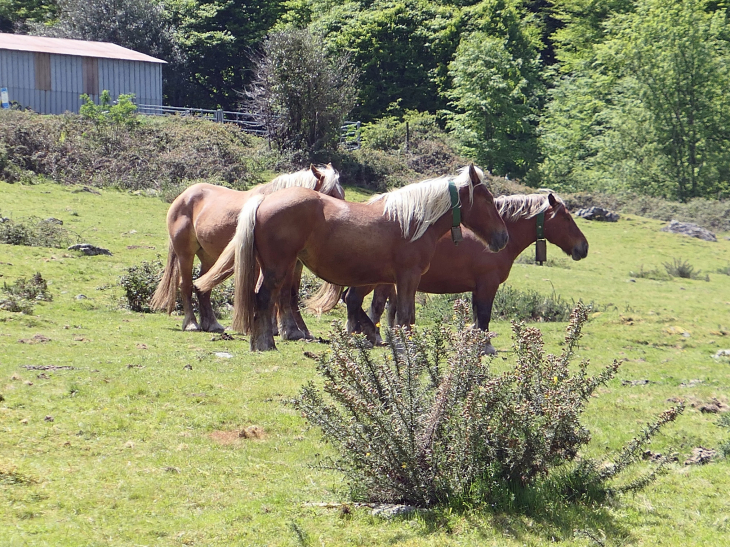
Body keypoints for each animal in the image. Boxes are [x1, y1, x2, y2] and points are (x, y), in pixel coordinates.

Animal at [149, 164, 344, 338]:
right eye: (331, 196)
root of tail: (184, 195)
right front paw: (275, 328)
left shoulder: (294, 264)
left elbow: (291, 294)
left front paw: (299, 329)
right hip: (185, 255)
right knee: (186, 285)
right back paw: (191, 323)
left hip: (208, 258)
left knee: (203, 287)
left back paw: (211, 324)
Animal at [196, 164, 510, 352]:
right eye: (488, 200)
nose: (503, 237)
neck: (411, 221)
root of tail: (265, 200)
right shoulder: (407, 278)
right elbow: (405, 317)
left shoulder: (390, 281)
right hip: (278, 268)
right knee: (264, 299)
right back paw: (265, 344)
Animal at [344, 193, 588, 356]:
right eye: (567, 219)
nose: (583, 247)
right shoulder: (488, 284)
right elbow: (485, 315)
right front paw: (486, 346)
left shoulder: (478, 288)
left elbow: (477, 316)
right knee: (356, 301)